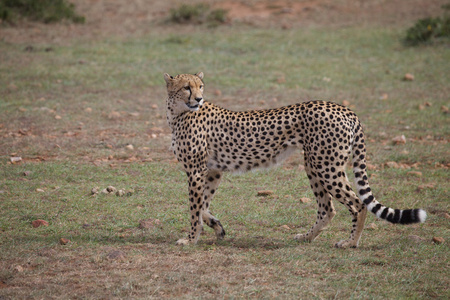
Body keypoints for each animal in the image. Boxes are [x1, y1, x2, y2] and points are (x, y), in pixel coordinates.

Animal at [163, 71, 428, 247]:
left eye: (200, 86)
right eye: (187, 87)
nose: (198, 99)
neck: (178, 113)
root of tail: (345, 109)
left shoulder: (196, 171)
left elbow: (195, 208)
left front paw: (190, 239)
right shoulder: (212, 170)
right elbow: (204, 205)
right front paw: (217, 227)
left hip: (327, 166)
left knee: (357, 203)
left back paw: (350, 242)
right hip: (314, 164)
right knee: (327, 208)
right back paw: (306, 237)